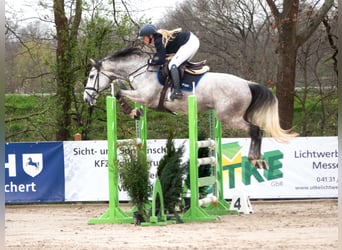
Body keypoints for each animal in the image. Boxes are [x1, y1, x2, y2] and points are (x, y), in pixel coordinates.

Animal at [83, 46, 296, 170]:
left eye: (92, 76)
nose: (86, 98)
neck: (141, 69)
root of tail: (247, 83)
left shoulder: (146, 97)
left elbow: (120, 93)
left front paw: (133, 111)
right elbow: (121, 89)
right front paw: (136, 112)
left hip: (229, 117)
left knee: (255, 130)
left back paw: (255, 160)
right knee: (256, 131)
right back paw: (258, 160)